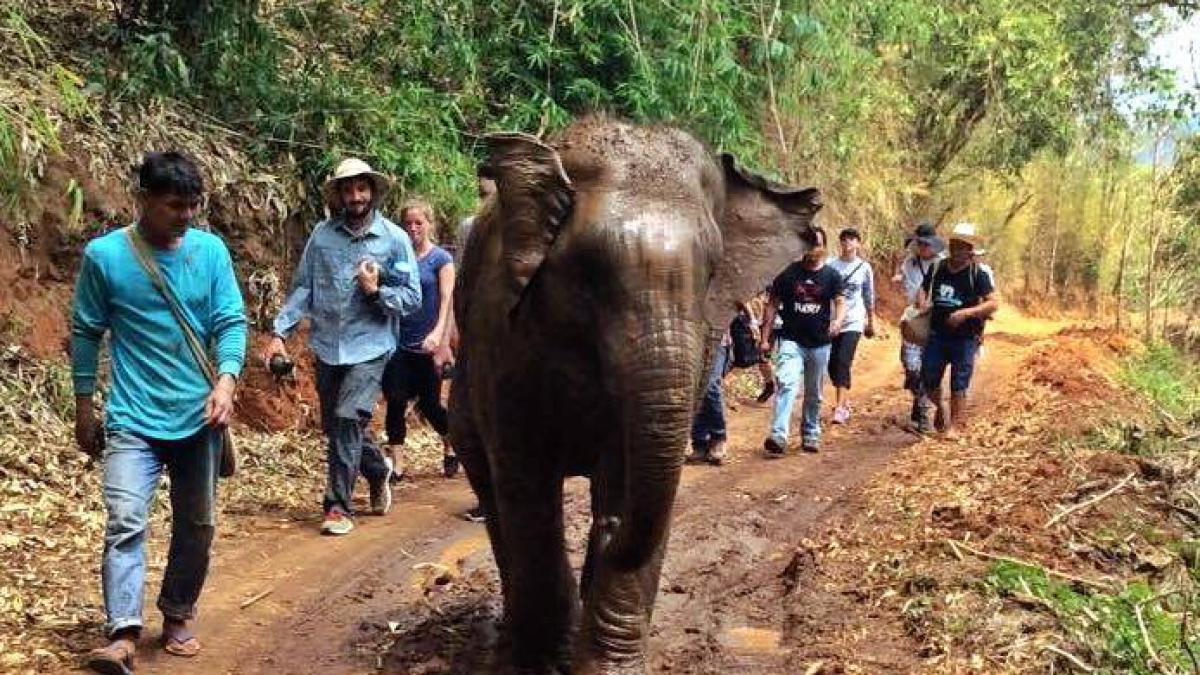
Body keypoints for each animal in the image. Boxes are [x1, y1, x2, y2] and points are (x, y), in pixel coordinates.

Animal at [449, 117, 822, 674]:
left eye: (712, 271)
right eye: (588, 272)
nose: (606, 529)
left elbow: (630, 473)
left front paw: (602, 665)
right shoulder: (502, 333)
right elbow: (526, 482)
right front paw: (547, 664)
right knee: (493, 489)